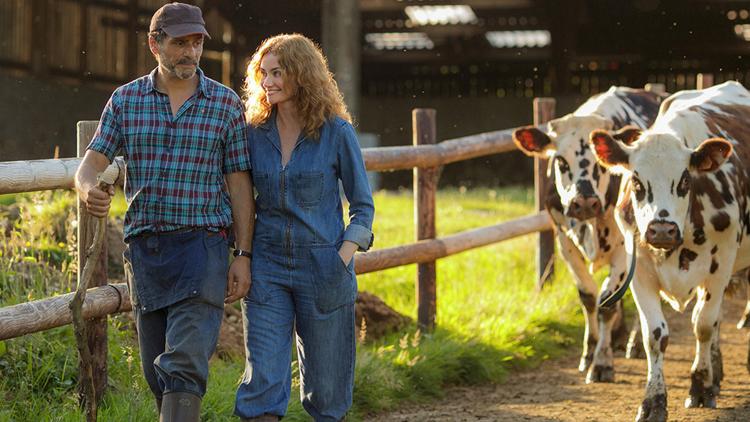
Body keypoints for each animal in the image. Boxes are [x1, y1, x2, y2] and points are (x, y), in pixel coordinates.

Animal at [516, 85, 668, 382]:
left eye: (600, 163)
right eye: (560, 161)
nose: (584, 202)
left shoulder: (625, 246)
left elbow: (606, 302)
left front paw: (602, 362)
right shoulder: (564, 240)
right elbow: (588, 297)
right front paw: (589, 353)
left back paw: (632, 342)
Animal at [592, 81, 750, 420]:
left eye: (686, 179)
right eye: (636, 181)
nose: (661, 229)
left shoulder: (722, 262)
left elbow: (703, 324)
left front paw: (700, 388)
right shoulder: (639, 269)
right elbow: (655, 335)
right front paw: (653, 402)